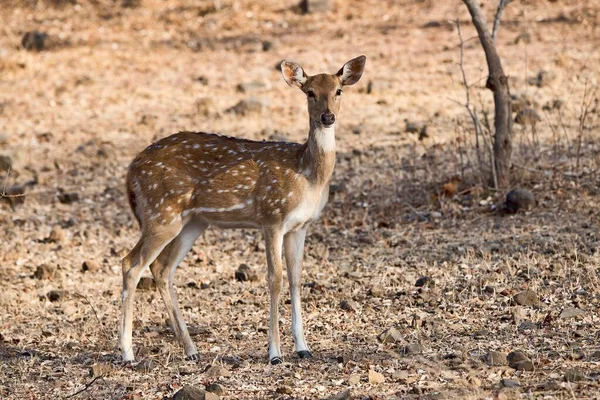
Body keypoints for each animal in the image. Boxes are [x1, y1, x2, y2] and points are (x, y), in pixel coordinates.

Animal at [118, 54, 366, 364]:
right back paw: (127, 352)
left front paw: (303, 347)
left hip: (192, 222)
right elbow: (275, 278)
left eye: (338, 91)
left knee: (161, 268)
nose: (327, 117)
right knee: (131, 264)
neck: (307, 175)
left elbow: (296, 278)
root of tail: (131, 170)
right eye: (310, 93)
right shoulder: (272, 216)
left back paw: (191, 349)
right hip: (160, 212)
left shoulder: (300, 226)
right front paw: (274, 353)